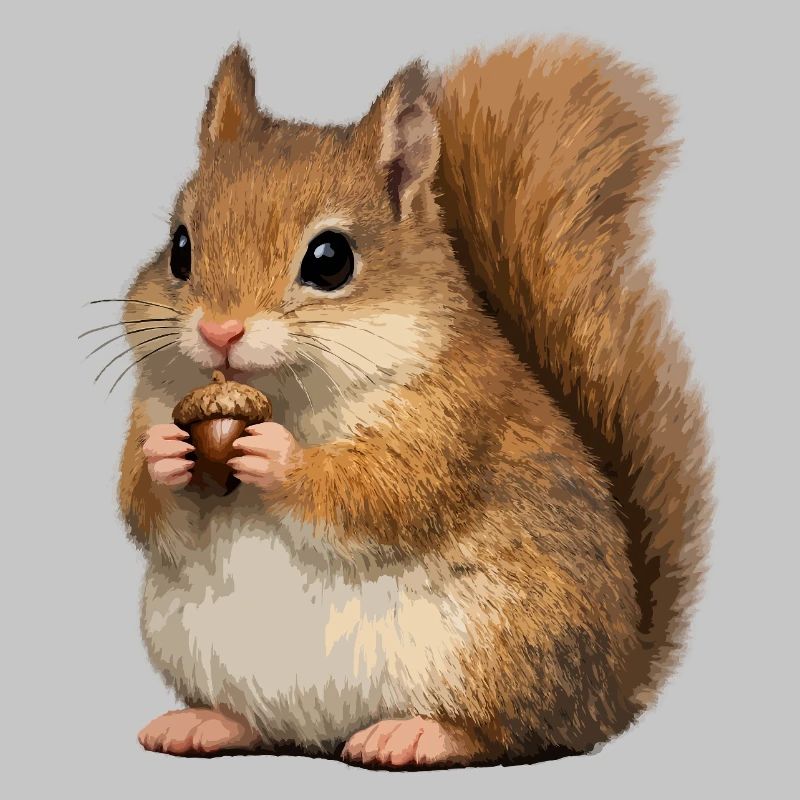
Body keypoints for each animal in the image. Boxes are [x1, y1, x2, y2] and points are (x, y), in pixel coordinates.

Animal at [115, 37, 712, 768]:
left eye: (330, 259)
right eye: (179, 247)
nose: (219, 332)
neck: (288, 395)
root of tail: (615, 688)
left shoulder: (451, 417)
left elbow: (386, 491)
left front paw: (279, 458)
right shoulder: (152, 402)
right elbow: (144, 506)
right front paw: (164, 457)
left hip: (502, 644)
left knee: (511, 733)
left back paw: (416, 734)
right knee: (261, 725)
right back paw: (206, 723)